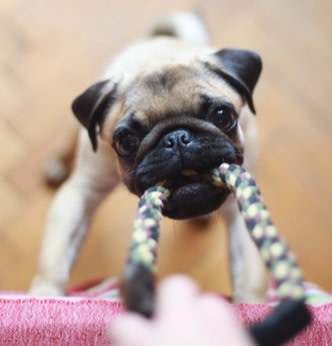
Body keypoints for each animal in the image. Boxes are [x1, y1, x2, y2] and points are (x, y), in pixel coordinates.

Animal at [29, 13, 268, 304]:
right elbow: (55, 254)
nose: (177, 138)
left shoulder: (240, 206)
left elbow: (250, 270)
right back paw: (57, 164)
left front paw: (251, 305)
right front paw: (44, 293)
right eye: (126, 142)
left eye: (223, 116)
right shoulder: (82, 191)